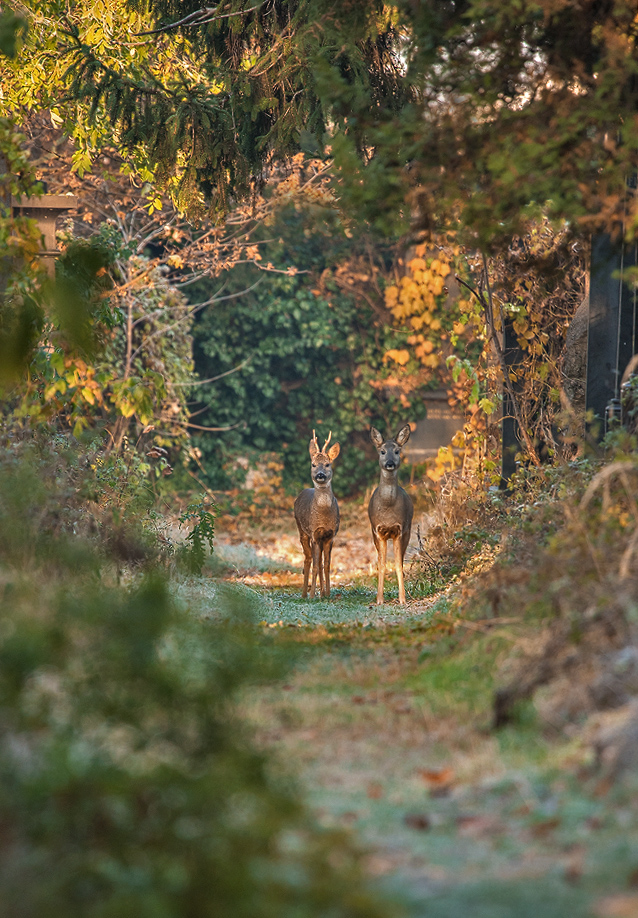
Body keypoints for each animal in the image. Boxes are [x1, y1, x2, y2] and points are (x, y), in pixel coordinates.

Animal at [296, 434, 342, 600]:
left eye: (328, 464)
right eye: (313, 464)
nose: (320, 475)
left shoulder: (330, 535)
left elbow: (326, 565)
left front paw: (327, 593)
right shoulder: (314, 534)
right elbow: (316, 565)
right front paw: (312, 596)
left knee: (320, 561)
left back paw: (321, 593)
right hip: (301, 530)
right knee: (308, 558)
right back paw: (304, 594)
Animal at [370, 428, 416, 608]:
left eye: (397, 451)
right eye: (382, 451)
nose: (390, 463)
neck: (388, 506)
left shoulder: (401, 530)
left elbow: (398, 564)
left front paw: (402, 599)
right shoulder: (377, 531)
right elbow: (381, 565)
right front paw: (379, 599)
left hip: (409, 530)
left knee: (401, 560)